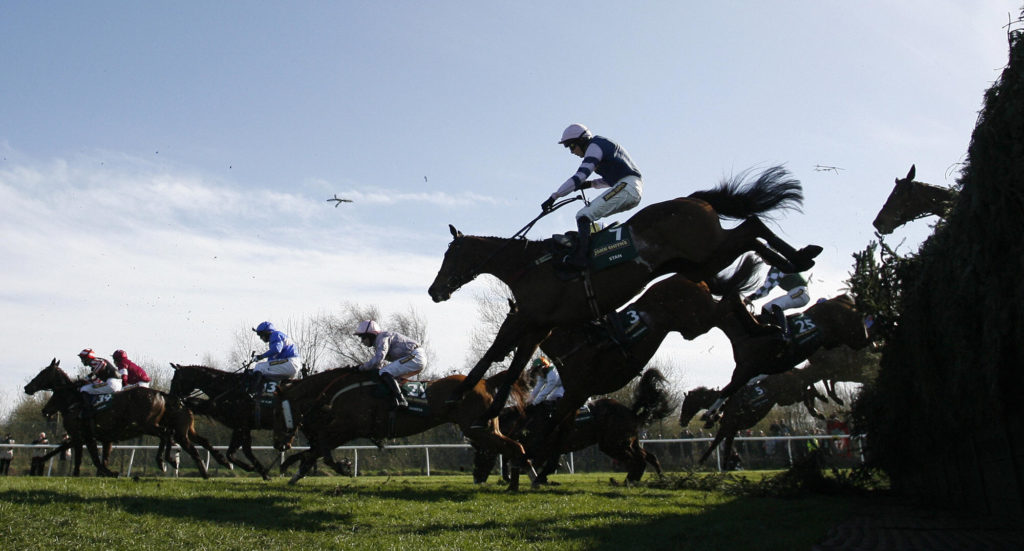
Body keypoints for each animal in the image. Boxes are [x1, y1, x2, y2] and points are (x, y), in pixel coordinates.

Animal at [24, 358, 230, 473]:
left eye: (42, 373)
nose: (27, 387)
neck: (74, 400)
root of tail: (163, 395)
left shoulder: (82, 434)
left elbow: (90, 457)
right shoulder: (92, 436)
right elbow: (92, 455)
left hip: (152, 426)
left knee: (171, 437)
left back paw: (168, 461)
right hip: (181, 430)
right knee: (197, 441)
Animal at [272, 366, 544, 487]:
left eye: (274, 410)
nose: (278, 444)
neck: (341, 389)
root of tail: (486, 381)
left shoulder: (349, 427)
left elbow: (323, 449)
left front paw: (343, 466)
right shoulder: (343, 429)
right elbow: (317, 449)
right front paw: (293, 471)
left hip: (478, 429)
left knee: (516, 447)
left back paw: (533, 478)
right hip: (484, 429)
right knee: (509, 448)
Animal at [432, 164, 823, 413]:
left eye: (449, 257)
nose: (434, 291)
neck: (528, 265)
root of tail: (694, 200)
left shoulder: (529, 318)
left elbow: (498, 354)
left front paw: (463, 394)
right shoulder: (539, 323)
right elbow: (508, 360)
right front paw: (483, 404)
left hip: (708, 250)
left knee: (752, 227)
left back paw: (799, 260)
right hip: (701, 264)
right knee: (738, 268)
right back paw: (779, 304)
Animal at [471, 366, 671, 483]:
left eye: (482, 451)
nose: (476, 477)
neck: (527, 420)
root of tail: (630, 411)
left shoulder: (545, 446)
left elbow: (528, 460)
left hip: (613, 444)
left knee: (639, 459)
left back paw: (630, 480)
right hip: (628, 441)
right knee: (649, 456)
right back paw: (660, 478)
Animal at [675, 362, 827, 464]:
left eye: (686, 404)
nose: (681, 421)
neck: (725, 402)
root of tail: (791, 370)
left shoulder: (729, 426)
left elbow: (718, 445)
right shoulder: (730, 428)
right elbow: (720, 445)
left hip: (789, 394)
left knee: (808, 391)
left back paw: (819, 406)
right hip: (786, 398)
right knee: (807, 389)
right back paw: (818, 407)